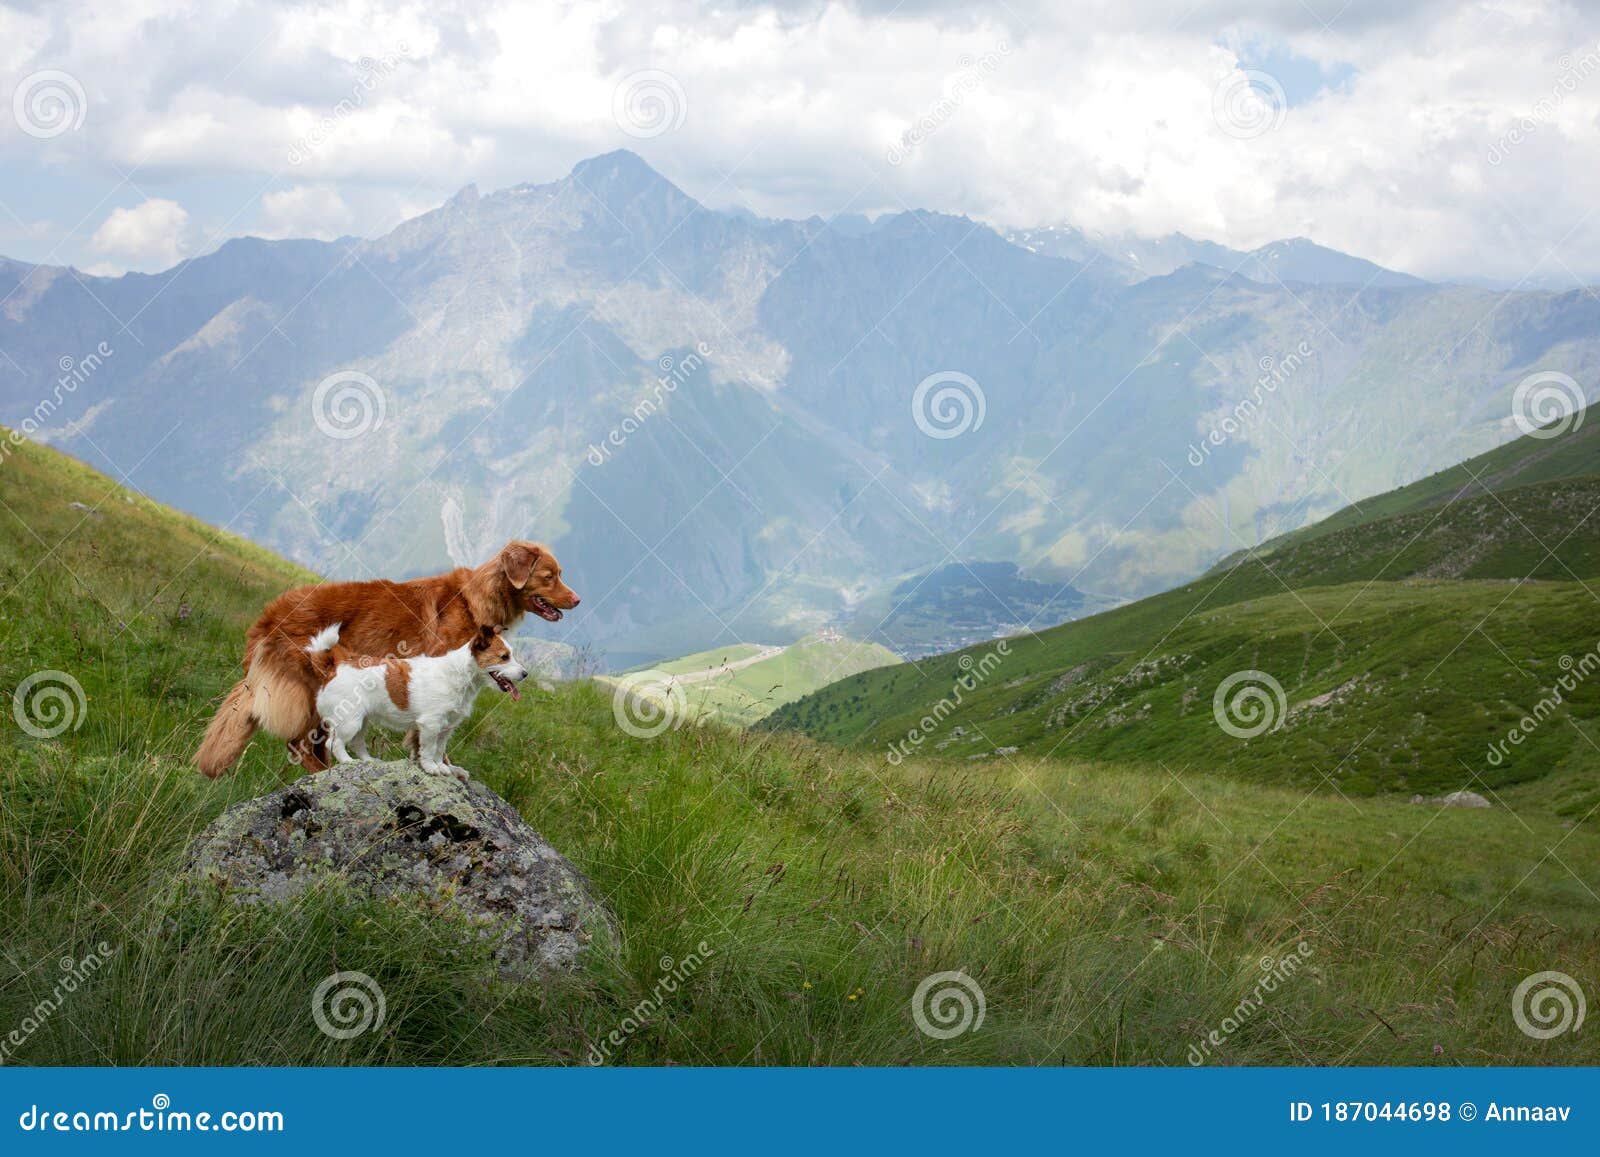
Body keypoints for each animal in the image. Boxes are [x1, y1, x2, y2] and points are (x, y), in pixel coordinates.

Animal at [310, 624, 531, 777]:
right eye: (504, 657)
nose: (525, 674)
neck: (459, 674)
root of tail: (335, 667)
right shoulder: (431, 725)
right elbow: (429, 749)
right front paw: (431, 767)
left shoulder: (447, 727)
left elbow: (440, 749)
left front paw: (441, 766)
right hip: (349, 722)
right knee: (334, 743)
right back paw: (348, 762)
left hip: (361, 721)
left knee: (357, 743)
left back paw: (369, 761)